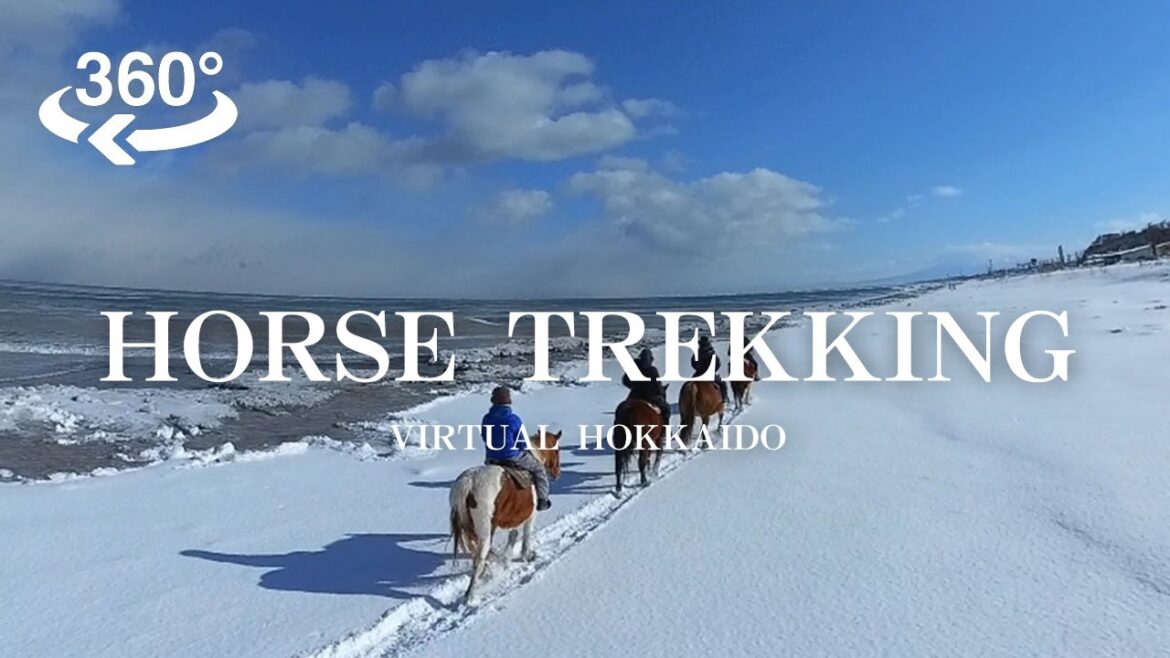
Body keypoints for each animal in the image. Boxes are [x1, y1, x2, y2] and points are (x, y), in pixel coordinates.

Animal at [449, 429, 562, 602]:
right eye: (557, 450)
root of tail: (469, 482)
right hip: (486, 530)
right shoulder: (530, 517)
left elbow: (513, 535)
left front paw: (506, 560)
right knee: (479, 558)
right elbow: (525, 537)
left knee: (477, 553)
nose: (557, 473)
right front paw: (526, 557)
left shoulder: (514, 516)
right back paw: (470, 594)